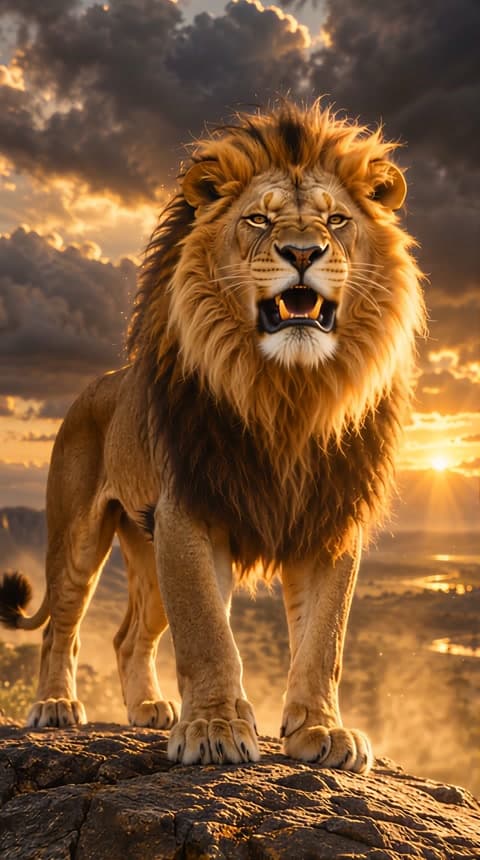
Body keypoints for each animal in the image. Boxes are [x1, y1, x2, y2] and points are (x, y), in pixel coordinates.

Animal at [0, 102, 425, 773]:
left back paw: (148, 710)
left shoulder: (329, 518)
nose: (302, 252)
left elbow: (324, 640)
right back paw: (56, 707)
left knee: (127, 637)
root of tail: (96, 384)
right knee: (59, 625)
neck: (289, 394)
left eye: (336, 220)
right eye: (258, 219)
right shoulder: (190, 511)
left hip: (146, 552)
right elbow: (208, 634)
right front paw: (216, 729)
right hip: (78, 536)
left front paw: (321, 730)